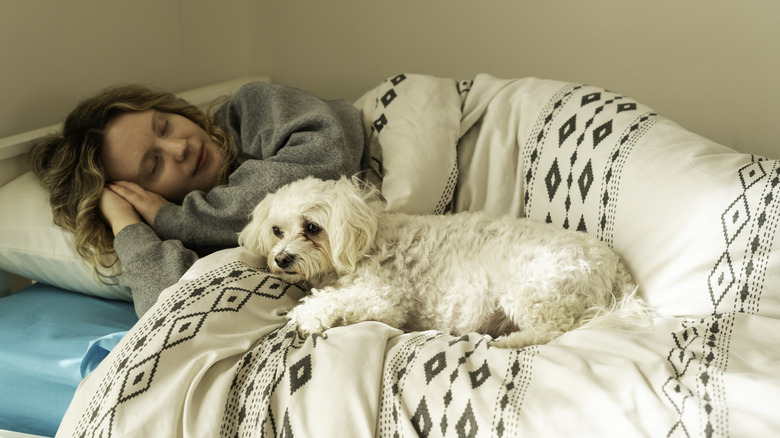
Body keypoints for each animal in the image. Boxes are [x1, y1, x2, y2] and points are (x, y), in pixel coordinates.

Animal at [239, 176, 652, 348]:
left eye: (312, 227)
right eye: (276, 230)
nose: (281, 259)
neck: (365, 241)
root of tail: (612, 263)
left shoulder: (384, 299)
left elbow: (331, 302)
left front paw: (305, 315)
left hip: (533, 288)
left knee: (555, 331)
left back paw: (508, 342)